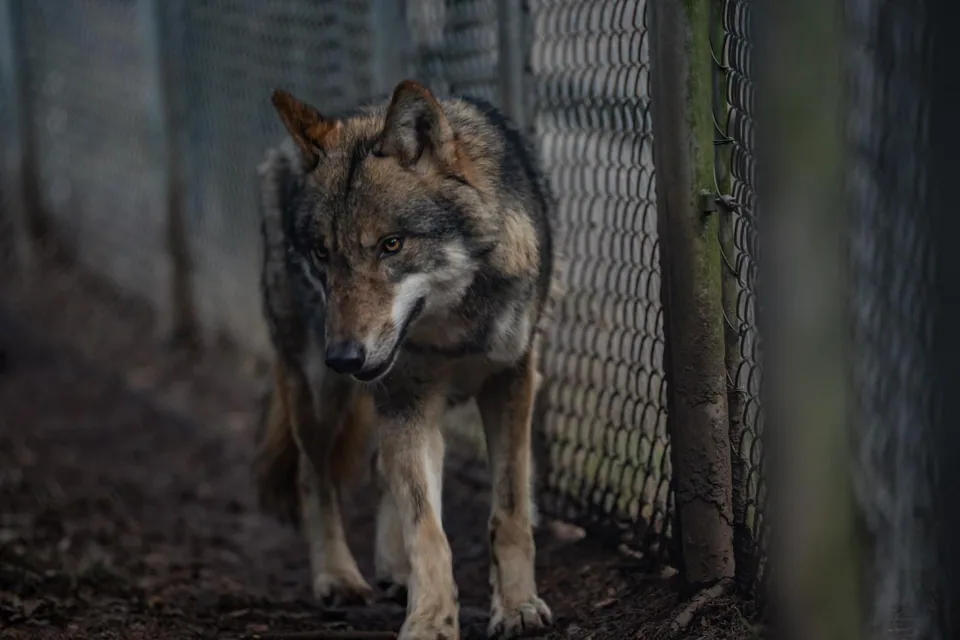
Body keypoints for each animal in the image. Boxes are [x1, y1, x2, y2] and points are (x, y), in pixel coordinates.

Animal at [252, 79, 555, 640]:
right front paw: (431, 621)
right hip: (318, 394)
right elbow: (428, 534)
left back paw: (393, 571)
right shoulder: (405, 400)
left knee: (377, 469)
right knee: (314, 477)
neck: (451, 327)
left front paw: (517, 607)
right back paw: (338, 577)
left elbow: (510, 512)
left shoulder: (511, 379)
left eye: (391, 245)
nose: (344, 356)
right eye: (323, 254)